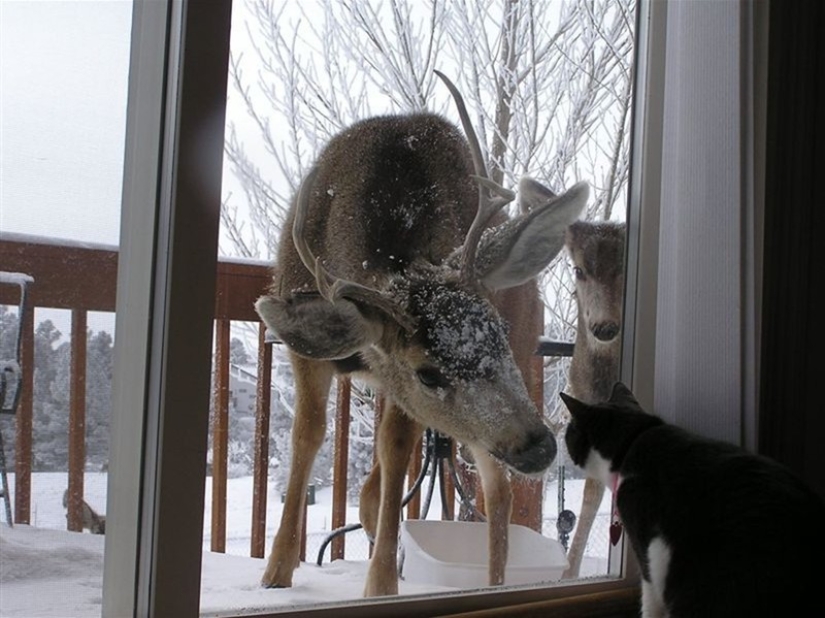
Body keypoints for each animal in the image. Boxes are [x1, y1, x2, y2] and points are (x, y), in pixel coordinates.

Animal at [254, 70, 588, 596]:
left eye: (497, 330)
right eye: (428, 373)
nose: (538, 445)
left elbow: (394, 447)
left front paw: (380, 584)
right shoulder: (313, 353)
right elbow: (309, 434)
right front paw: (276, 571)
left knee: (496, 490)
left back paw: (492, 584)